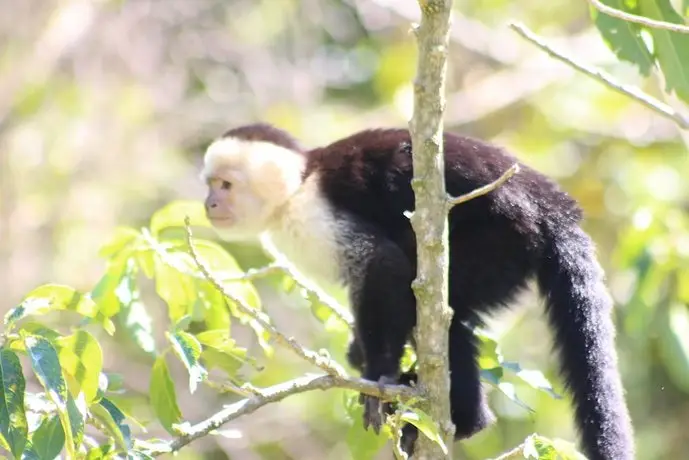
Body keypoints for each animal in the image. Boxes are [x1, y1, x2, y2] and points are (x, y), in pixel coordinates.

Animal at [199, 122, 636, 460]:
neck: (298, 187)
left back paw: (464, 417)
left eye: (225, 185)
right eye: (210, 186)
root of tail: (554, 206)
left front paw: (379, 376)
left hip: (503, 234)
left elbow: (382, 263)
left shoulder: (314, 215)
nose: (209, 204)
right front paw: (365, 355)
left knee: (445, 308)